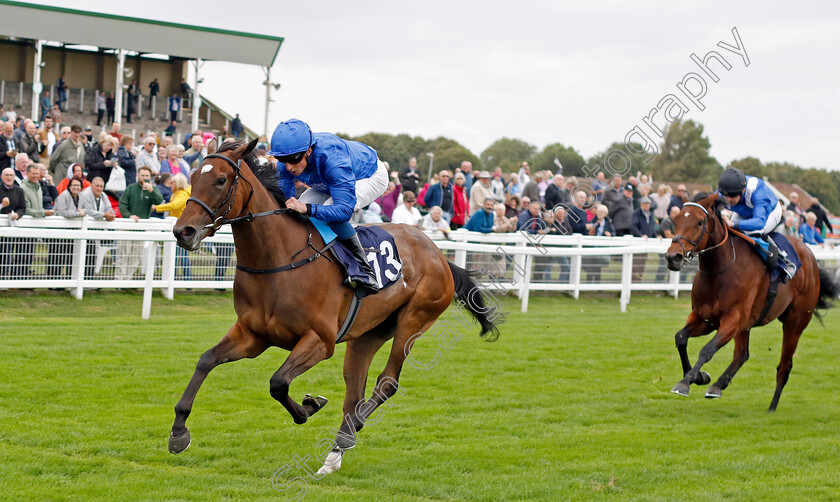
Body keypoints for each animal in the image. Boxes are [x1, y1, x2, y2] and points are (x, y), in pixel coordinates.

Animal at [167, 139, 502, 472]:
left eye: (221, 180)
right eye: (193, 177)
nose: (183, 231)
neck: (278, 260)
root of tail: (440, 256)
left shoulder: (320, 340)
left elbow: (278, 382)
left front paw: (310, 405)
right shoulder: (252, 335)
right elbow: (206, 360)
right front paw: (178, 432)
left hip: (414, 321)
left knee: (387, 382)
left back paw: (347, 434)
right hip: (368, 334)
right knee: (354, 391)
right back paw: (336, 452)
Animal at [668, 192, 836, 412]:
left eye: (699, 222)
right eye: (677, 219)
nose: (673, 257)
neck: (720, 270)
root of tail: (811, 258)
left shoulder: (732, 319)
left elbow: (707, 350)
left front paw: (685, 382)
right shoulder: (705, 319)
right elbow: (680, 338)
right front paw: (700, 377)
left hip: (794, 323)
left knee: (784, 366)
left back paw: (772, 407)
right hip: (747, 325)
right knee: (742, 354)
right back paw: (717, 386)